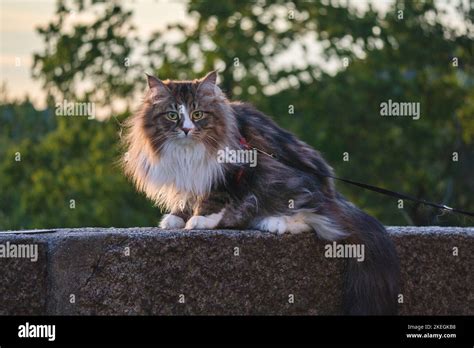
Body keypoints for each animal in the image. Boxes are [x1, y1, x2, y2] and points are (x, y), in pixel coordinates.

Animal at [122, 70, 400, 316]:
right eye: (171, 115)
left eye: (197, 114)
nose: (187, 129)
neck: (187, 151)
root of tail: (333, 194)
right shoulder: (193, 177)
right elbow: (189, 198)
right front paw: (177, 218)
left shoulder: (233, 168)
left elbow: (215, 196)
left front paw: (201, 219)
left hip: (284, 181)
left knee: (321, 221)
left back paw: (273, 222)